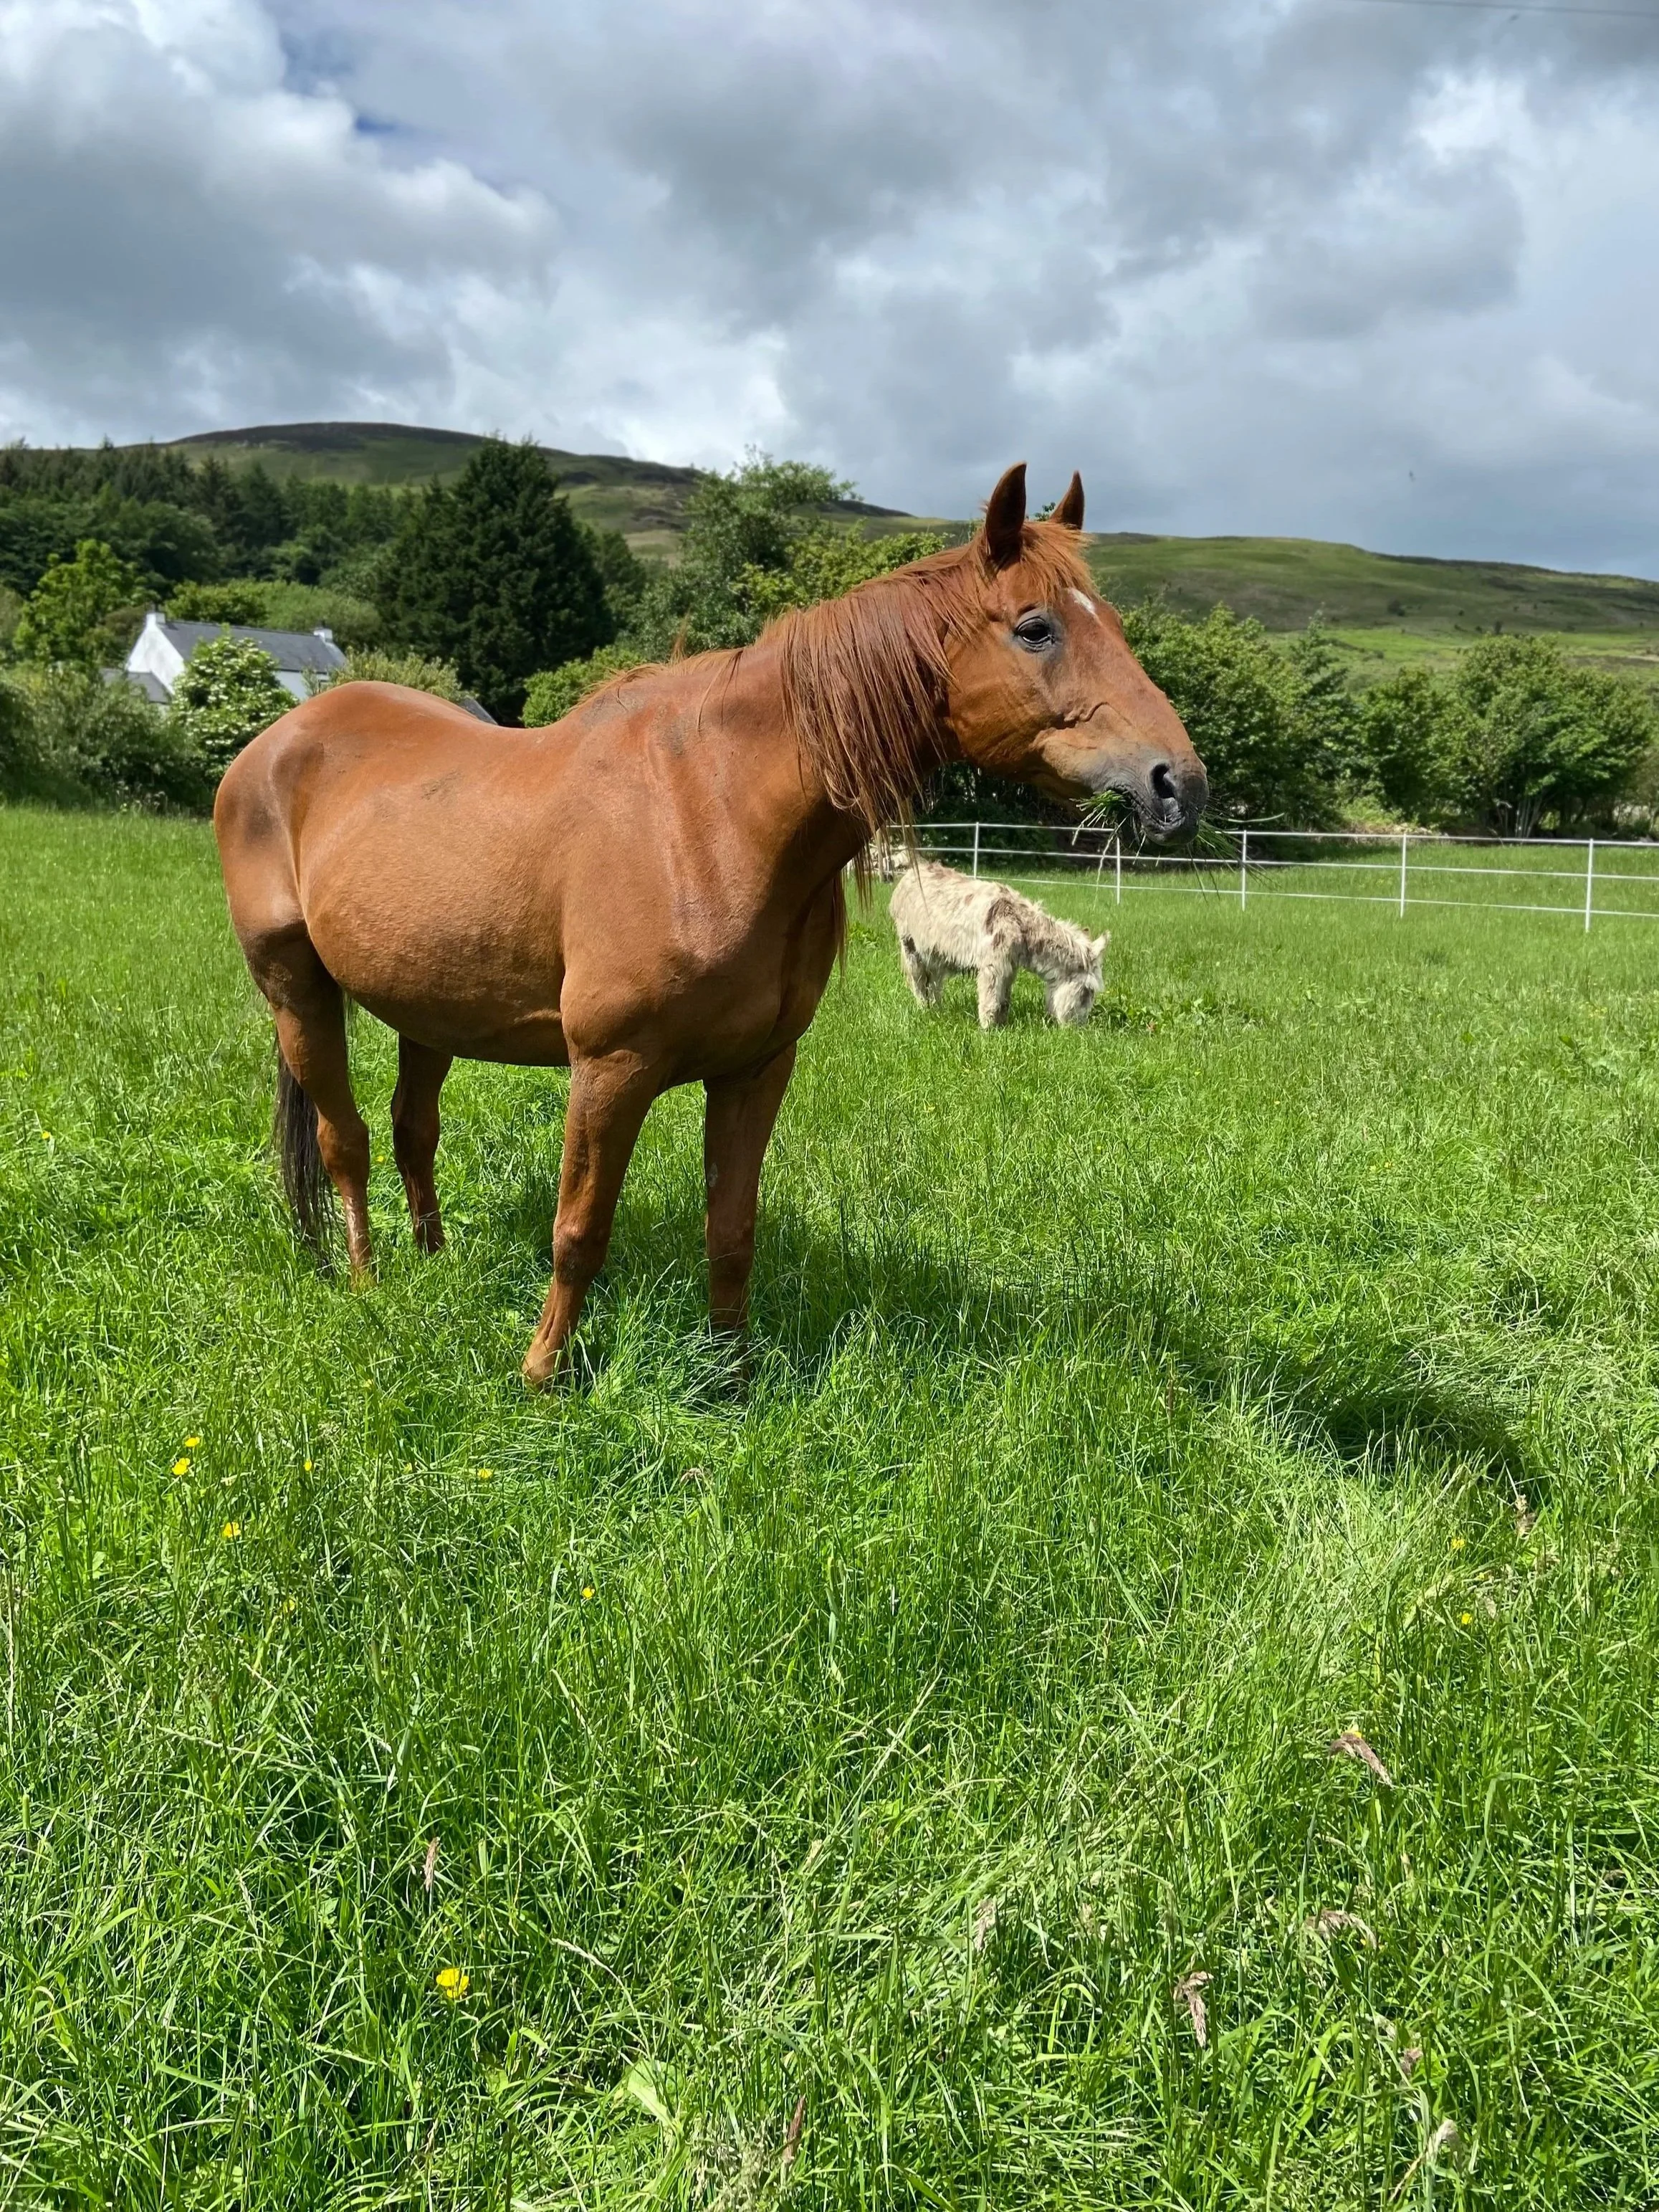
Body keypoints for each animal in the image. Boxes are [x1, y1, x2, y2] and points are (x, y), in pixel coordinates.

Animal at [889, 856, 1108, 1029]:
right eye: (1088, 991)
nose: (1078, 1029)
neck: (1019, 924)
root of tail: (910, 873)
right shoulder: (993, 964)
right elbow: (991, 999)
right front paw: (987, 1032)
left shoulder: (1009, 966)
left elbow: (1004, 1000)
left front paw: (1002, 1026)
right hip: (910, 944)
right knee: (918, 980)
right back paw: (924, 1010)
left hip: (935, 952)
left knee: (933, 982)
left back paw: (937, 1010)